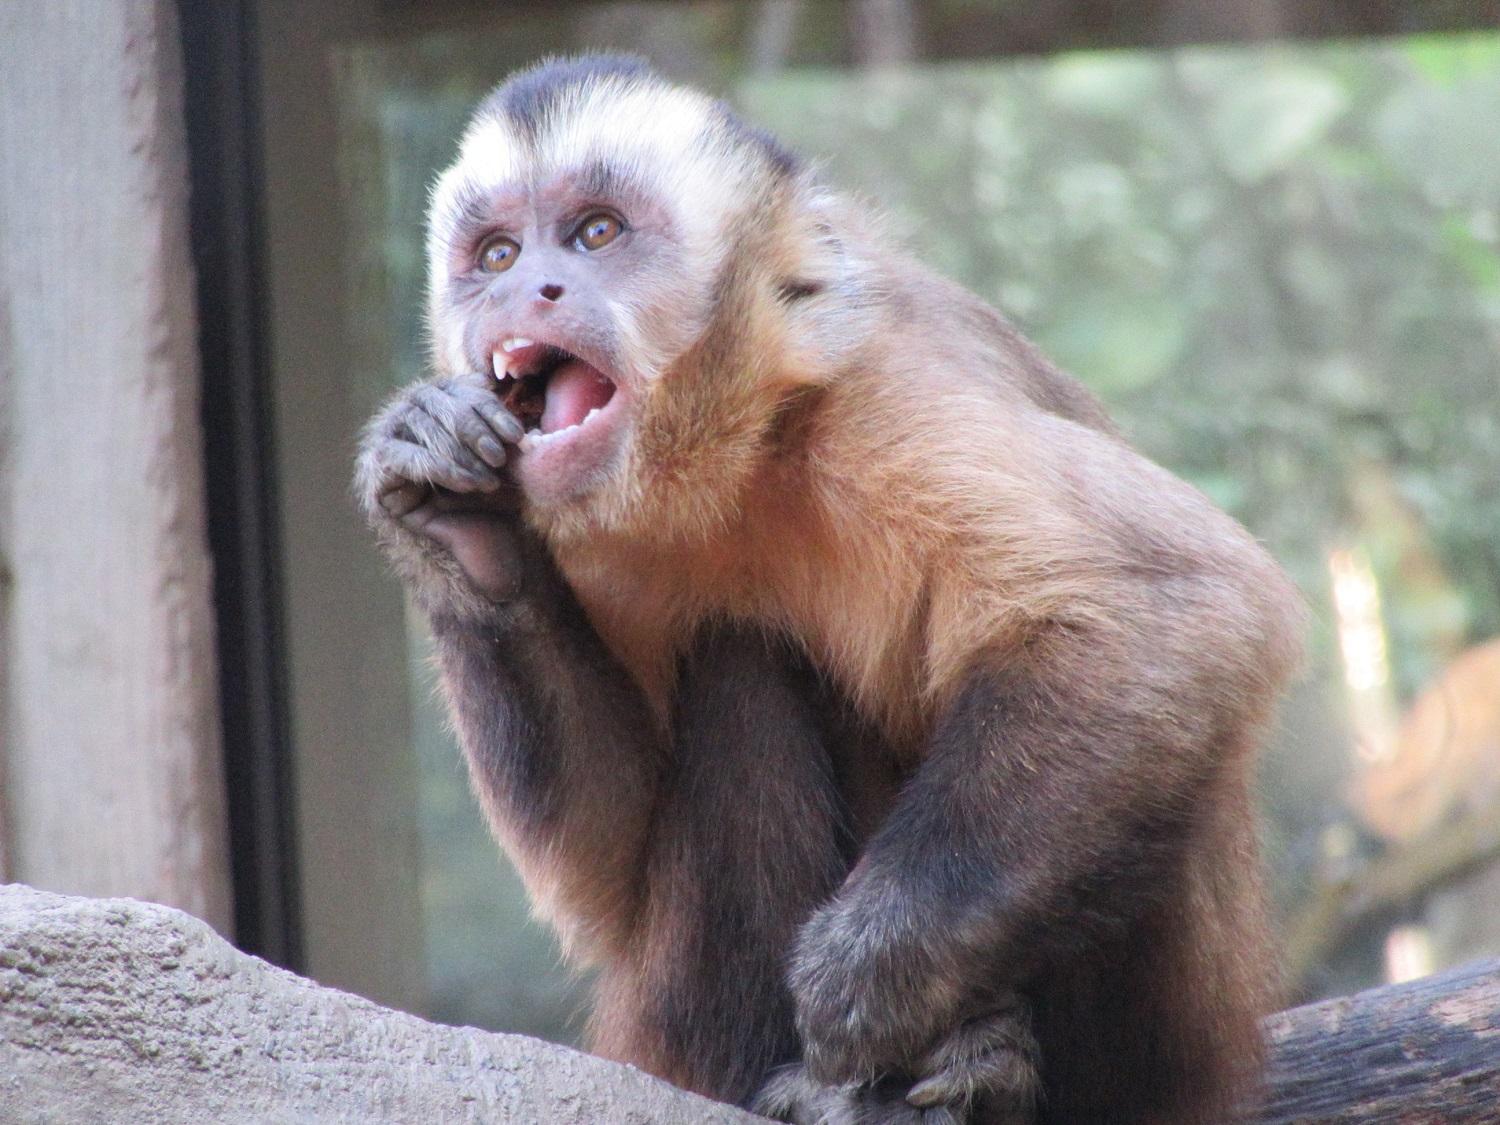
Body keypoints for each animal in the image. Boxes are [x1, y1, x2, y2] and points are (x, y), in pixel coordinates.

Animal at [357, 55, 1308, 1125]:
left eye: (596, 234)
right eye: (498, 252)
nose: (530, 286)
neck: (735, 453)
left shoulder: (892, 398)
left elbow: (1178, 607)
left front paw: (870, 979)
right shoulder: (575, 527)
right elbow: (605, 870)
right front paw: (457, 528)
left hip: (1174, 1053)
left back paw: (984, 1074)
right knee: (739, 666)